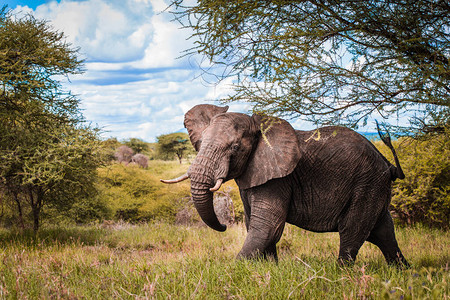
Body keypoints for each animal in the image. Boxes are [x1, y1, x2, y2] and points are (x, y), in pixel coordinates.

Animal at [161, 104, 408, 266]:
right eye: (201, 143)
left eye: (235, 148)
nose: (223, 226)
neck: (257, 126)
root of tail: (387, 164)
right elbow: (255, 224)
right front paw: (270, 269)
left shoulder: (279, 178)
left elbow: (267, 225)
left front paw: (234, 271)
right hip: (374, 185)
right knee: (383, 231)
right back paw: (403, 271)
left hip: (366, 183)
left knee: (353, 230)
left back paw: (341, 274)